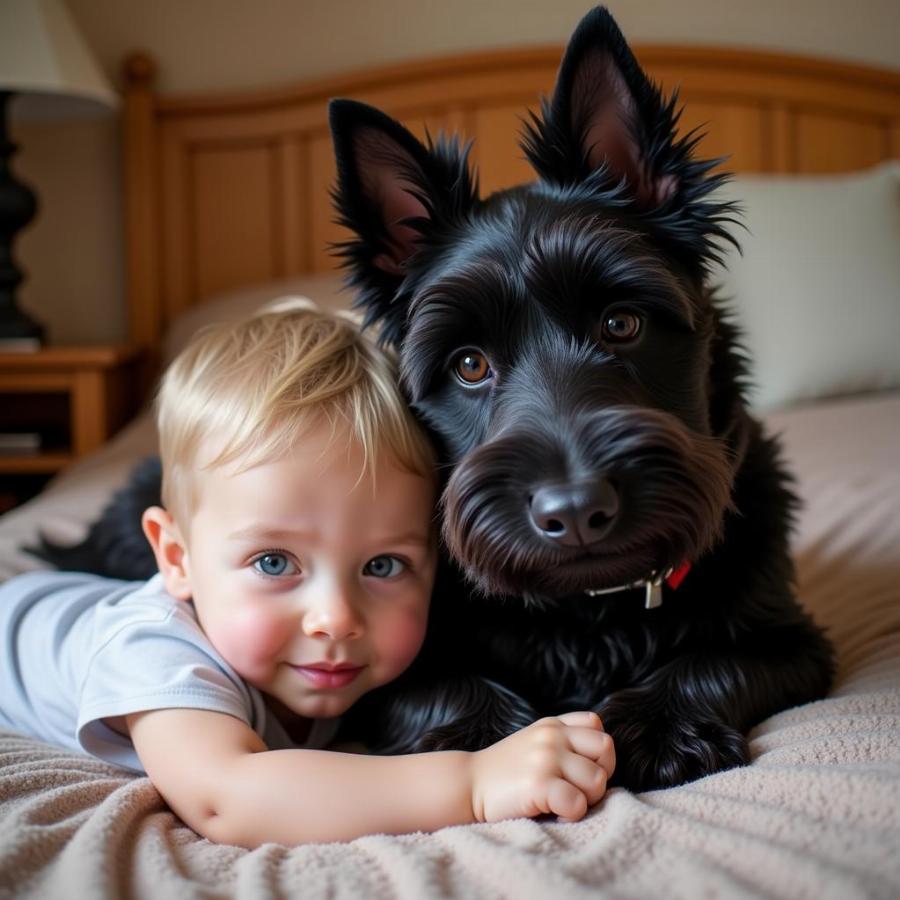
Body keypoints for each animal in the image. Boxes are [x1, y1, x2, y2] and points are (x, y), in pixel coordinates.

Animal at [38, 8, 832, 796]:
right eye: (470, 364)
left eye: (621, 323)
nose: (575, 510)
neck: (589, 611)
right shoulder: (382, 669)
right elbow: (449, 685)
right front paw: (491, 744)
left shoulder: (791, 638)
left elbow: (708, 664)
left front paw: (659, 726)